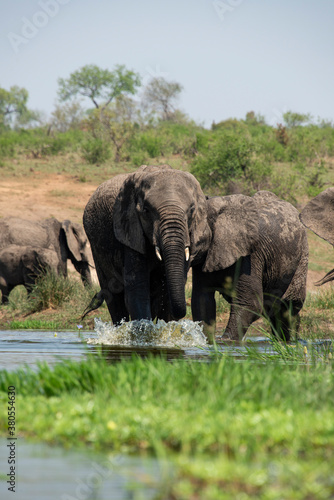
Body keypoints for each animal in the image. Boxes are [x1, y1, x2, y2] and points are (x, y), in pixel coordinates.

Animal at [82, 162, 210, 322]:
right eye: (146, 210)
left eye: (192, 209)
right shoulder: (130, 232)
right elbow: (137, 291)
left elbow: (168, 294)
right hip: (96, 246)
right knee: (113, 297)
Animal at [192, 189, 310, 342]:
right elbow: (202, 300)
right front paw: (207, 342)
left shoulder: (250, 256)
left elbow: (250, 303)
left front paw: (226, 342)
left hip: (302, 256)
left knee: (287, 306)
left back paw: (288, 342)